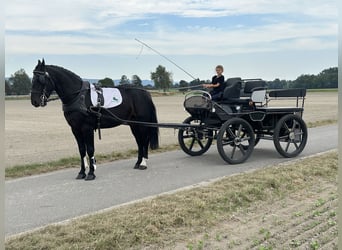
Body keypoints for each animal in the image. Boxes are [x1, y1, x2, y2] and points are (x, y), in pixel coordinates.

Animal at [30, 59, 159, 180]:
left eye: (40, 79)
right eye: (33, 79)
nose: (34, 101)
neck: (78, 96)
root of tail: (145, 93)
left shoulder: (87, 128)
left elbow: (90, 149)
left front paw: (91, 173)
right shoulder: (75, 129)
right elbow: (82, 150)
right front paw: (81, 173)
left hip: (142, 124)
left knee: (144, 141)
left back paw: (143, 164)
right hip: (134, 124)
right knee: (139, 142)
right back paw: (138, 163)